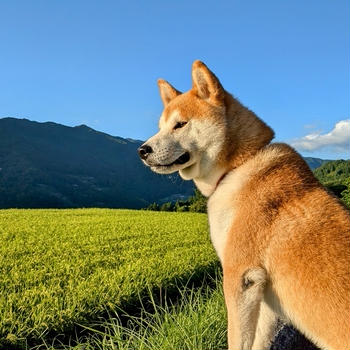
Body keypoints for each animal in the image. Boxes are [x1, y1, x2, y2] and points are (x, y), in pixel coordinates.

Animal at [137, 60, 350, 350]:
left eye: (180, 124)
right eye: (160, 127)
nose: (142, 150)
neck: (238, 168)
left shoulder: (240, 276)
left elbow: (237, 338)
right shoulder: (267, 294)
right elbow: (258, 340)